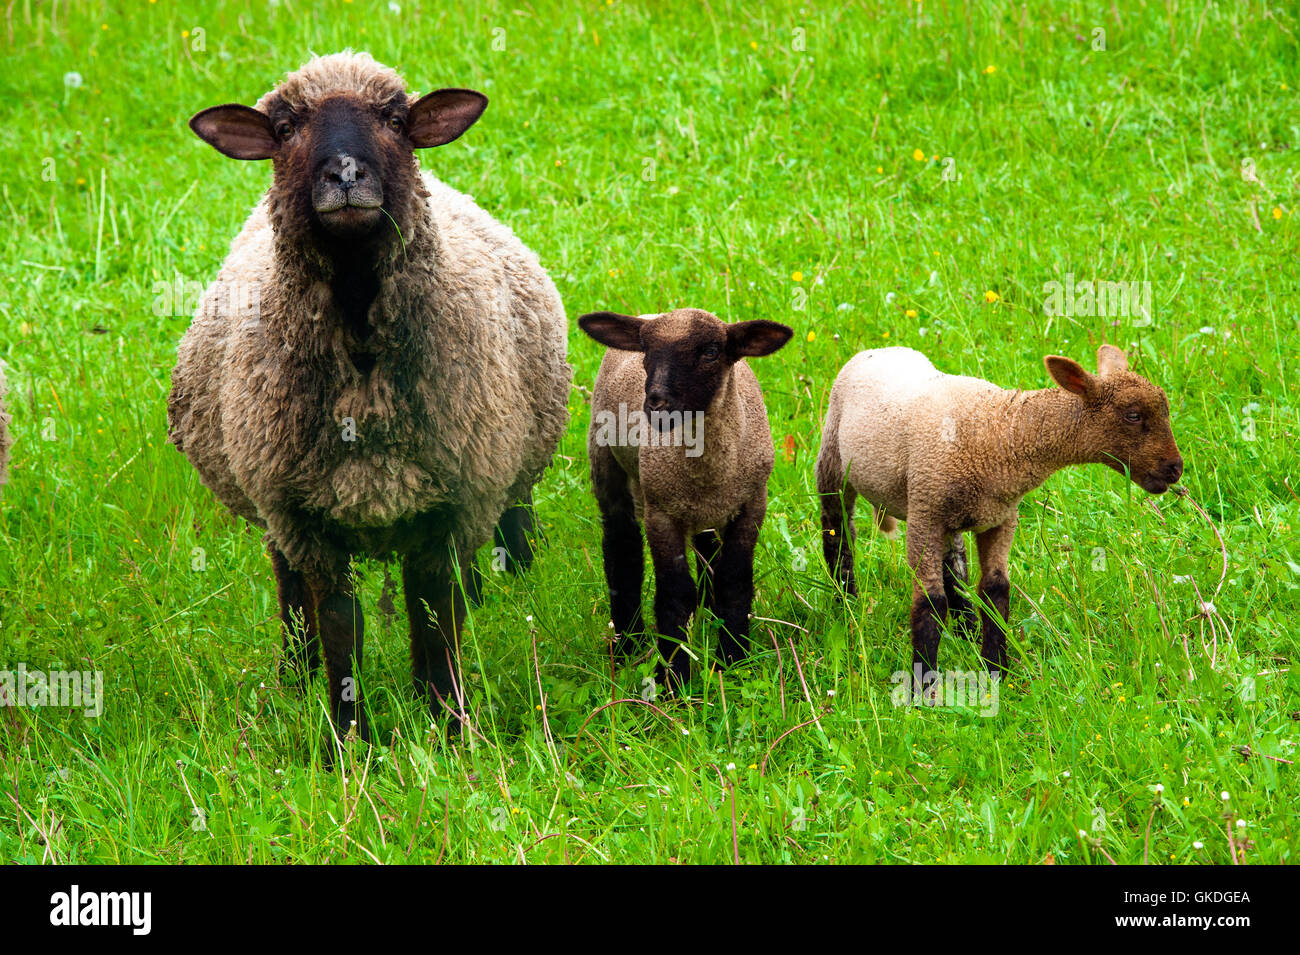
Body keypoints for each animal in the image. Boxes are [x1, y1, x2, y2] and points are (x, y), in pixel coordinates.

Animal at [582, 306, 790, 686]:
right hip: (608, 465)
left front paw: (733, 661)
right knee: (621, 548)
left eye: (711, 351)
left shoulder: (752, 503)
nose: (656, 404)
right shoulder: (661, 512)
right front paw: (673, 680)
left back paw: (708, 615)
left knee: (706, 548)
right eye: (646, 351)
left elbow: (734, 579)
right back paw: (628, 644)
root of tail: (648, 312)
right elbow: (675, 593)